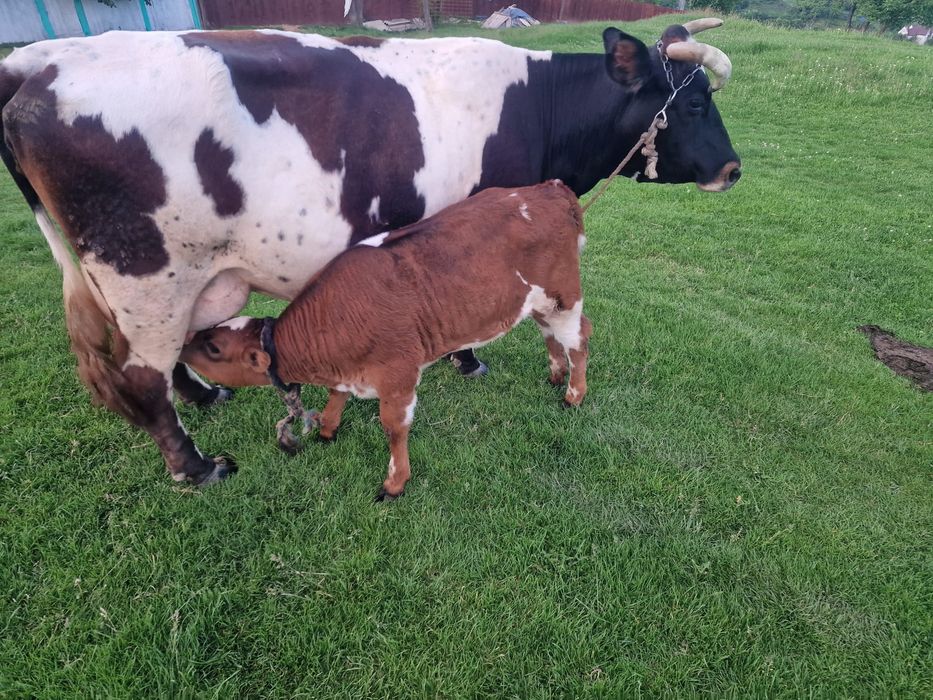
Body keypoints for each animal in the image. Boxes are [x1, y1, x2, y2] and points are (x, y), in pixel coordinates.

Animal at [181, 181, 590, 499]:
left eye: (213, 347)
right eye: (212, 331)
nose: (182, 342)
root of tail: (550, 188)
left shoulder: (398, 373)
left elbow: (393, 427)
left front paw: (394, 483)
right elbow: (335, 397)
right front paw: (327, 430)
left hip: (565, 294)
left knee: (578, 337)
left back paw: (573, 394)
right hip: (539, 301)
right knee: (548, 331)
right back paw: (556, 374)